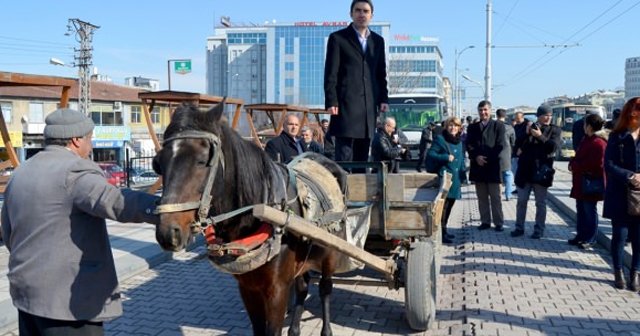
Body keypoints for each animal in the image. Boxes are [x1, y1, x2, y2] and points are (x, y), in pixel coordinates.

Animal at [154, 102, 350, 336]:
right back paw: (294, 328)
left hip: (330, 252)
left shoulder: (277, 290)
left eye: (202, 161)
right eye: (158, 163)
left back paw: (326, 329)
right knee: (303, 288)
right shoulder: (247, 288)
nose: (169, 233)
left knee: (325, 289)